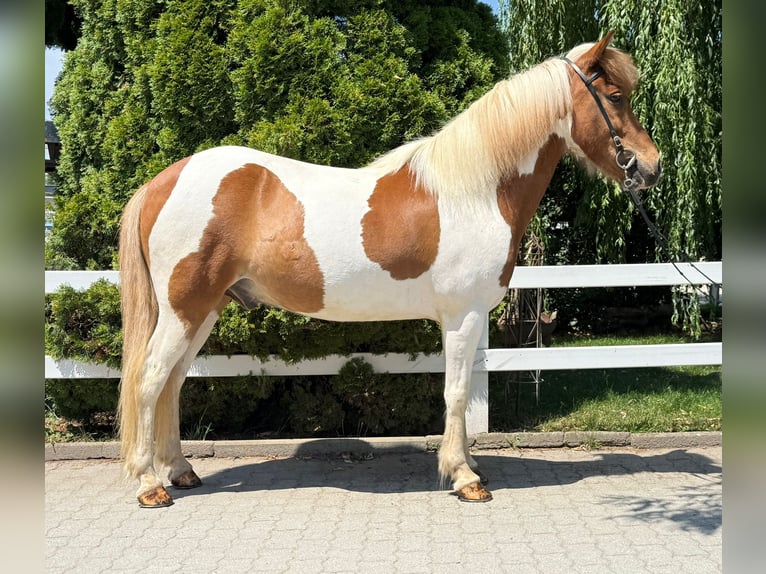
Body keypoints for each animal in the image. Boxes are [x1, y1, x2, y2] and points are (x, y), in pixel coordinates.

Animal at [118, 32, 660, 507]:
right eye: (615, 97)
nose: (651, 167)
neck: (478, 190)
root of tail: (164, 180)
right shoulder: (462, 316)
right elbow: (456, 393)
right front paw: (464, 479)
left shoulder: (468, 318)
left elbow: (461, 393)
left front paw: (468, 466)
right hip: (185, 310)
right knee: (149, 380)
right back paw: (149, 485)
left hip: (204, 311)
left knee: (172, 383)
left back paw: (181, 471)